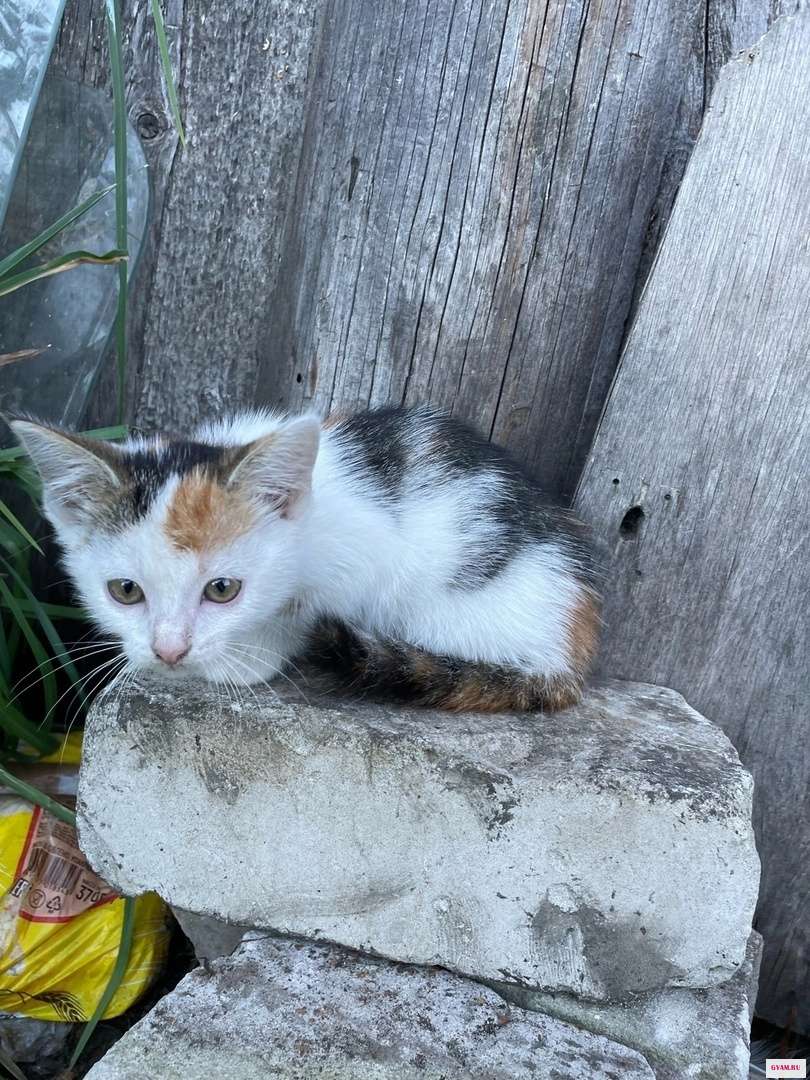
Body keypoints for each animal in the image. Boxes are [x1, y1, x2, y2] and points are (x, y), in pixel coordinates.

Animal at [11, 406, 601, 712]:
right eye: (125, 591)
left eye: (222, 590)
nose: (170, 652)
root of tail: (571, 651)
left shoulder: (368, 560)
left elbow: (299, 613)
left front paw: (247, 656)